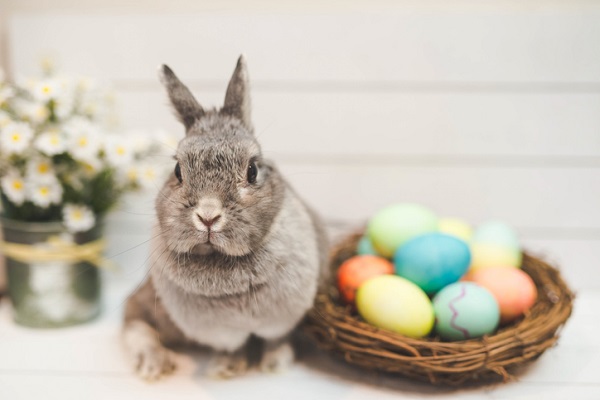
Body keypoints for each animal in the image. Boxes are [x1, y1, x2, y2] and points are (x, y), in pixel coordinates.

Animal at [121, 56, 328, 382]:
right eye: (178, 171)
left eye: (252, 170)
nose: (208, 217)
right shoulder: (221, 333)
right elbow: (232, 346)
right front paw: (226, 367)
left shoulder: (282, 320)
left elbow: (276, 339)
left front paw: (274, 364)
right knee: (132, 318)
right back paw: (153, 364)